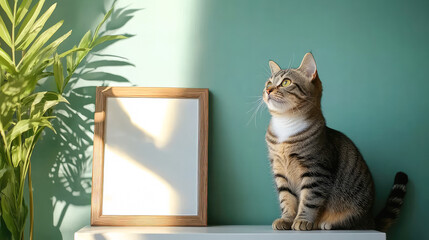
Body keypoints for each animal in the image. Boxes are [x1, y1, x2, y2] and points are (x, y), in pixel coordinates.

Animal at [264, 53, 408, 231]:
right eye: (269, 83)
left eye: (285, 82)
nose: (268, 90)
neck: (285, 126)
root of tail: (372, 219)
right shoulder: (280, 171)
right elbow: (286, 198)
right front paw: (287, 219)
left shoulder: (316, 170)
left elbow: (309, 200)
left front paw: (302, 220)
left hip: (355, 212)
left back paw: (327, 224)